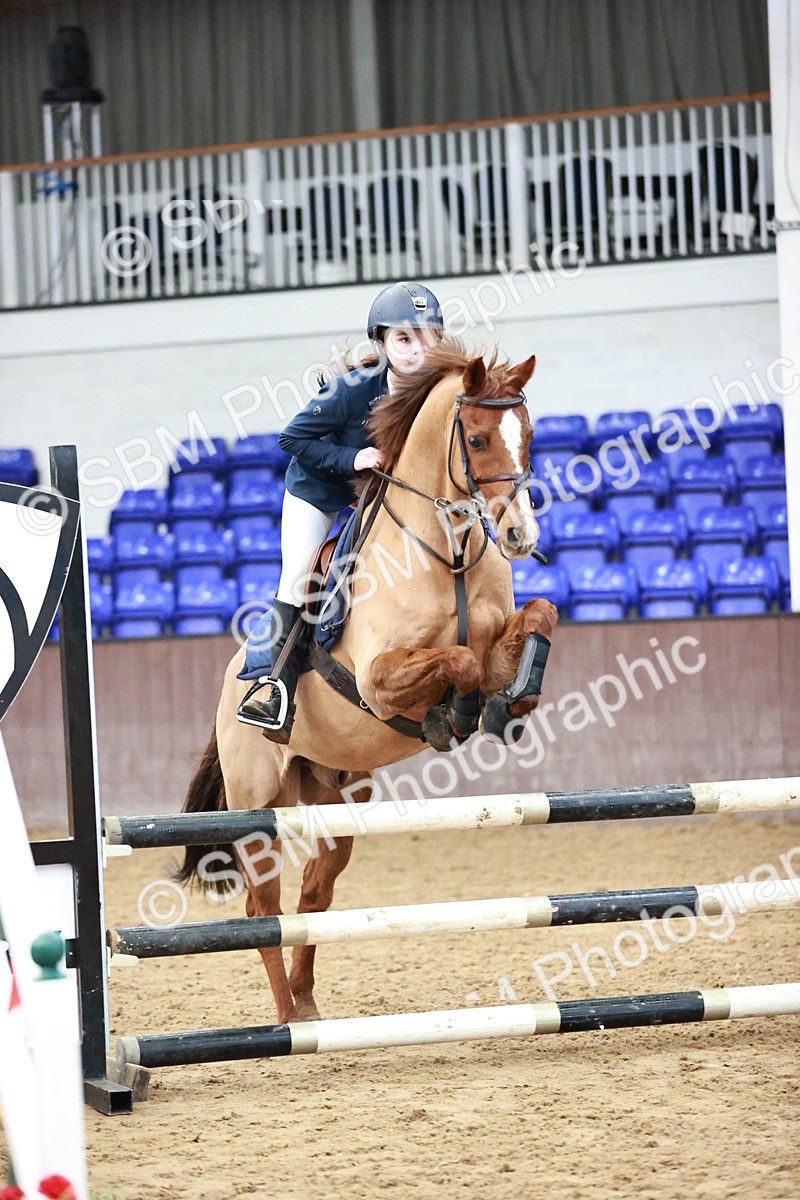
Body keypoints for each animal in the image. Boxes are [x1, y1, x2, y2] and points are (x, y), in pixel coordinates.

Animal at [176, 338, 558, 1023]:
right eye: (478, 439)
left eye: (530, 434)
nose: (521, 536)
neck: (446, 552)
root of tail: (225, 691)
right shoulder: (381, 681)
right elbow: (454, 665)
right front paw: (453, 716)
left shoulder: (496, 641)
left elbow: (538, 619)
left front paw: (508, 705)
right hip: (257, 806)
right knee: (263, 910)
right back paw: (286, 1019)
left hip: (338, 795)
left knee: (315, 895)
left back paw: (307, 1006)